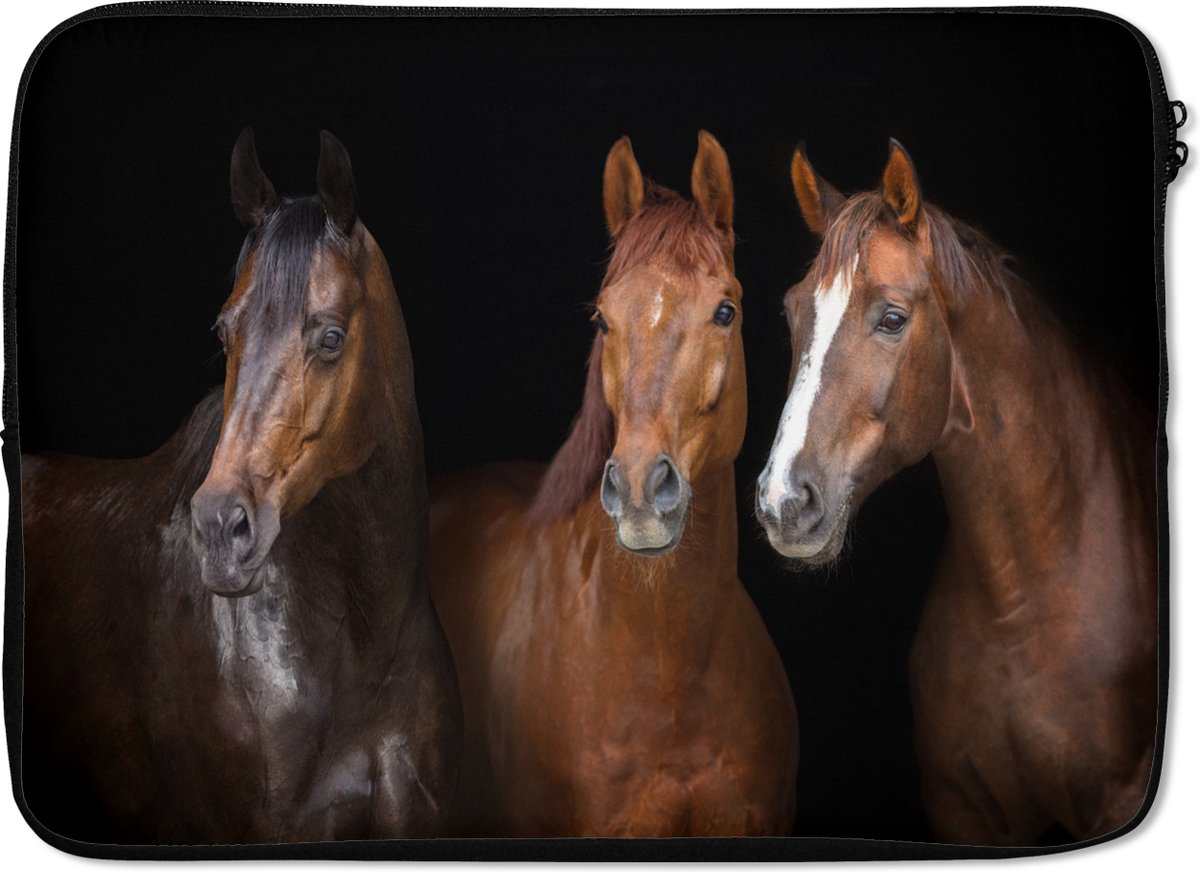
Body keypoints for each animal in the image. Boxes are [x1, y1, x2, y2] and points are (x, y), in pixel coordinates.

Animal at [755, 140, 1157, 845]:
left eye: (892, 317)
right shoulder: (963, 807)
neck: (1023, 600)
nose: (784, 502)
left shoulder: (1118, 795)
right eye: (792, 310)